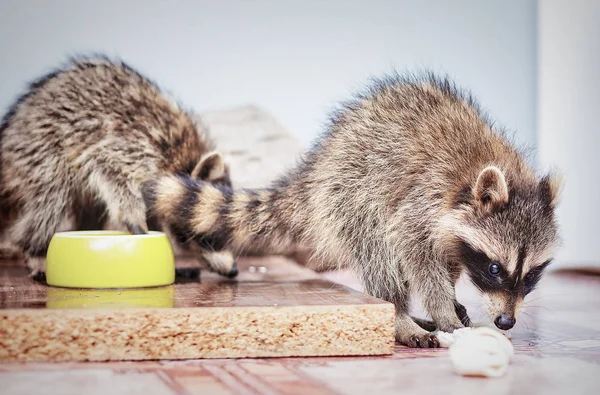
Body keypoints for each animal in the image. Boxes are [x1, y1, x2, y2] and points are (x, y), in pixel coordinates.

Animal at [0, 55, 239, 278]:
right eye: (209, 235)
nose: (233, 270)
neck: (182, 159)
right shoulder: (139, 147)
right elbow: (105, 163)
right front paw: (133, 216)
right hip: (39, 150)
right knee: (52, 197)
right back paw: (35, 250)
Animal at [144, 72, 564, 348]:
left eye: (531, 274)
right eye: (494, 268)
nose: (506, 321)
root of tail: (316, 166)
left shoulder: (451, 229)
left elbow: (446, 259)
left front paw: (449, 299)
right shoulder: (422, 199)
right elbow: (416, 254)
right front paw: (442, 309)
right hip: (348, 191)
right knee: (378, 246)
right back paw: (399, 314)